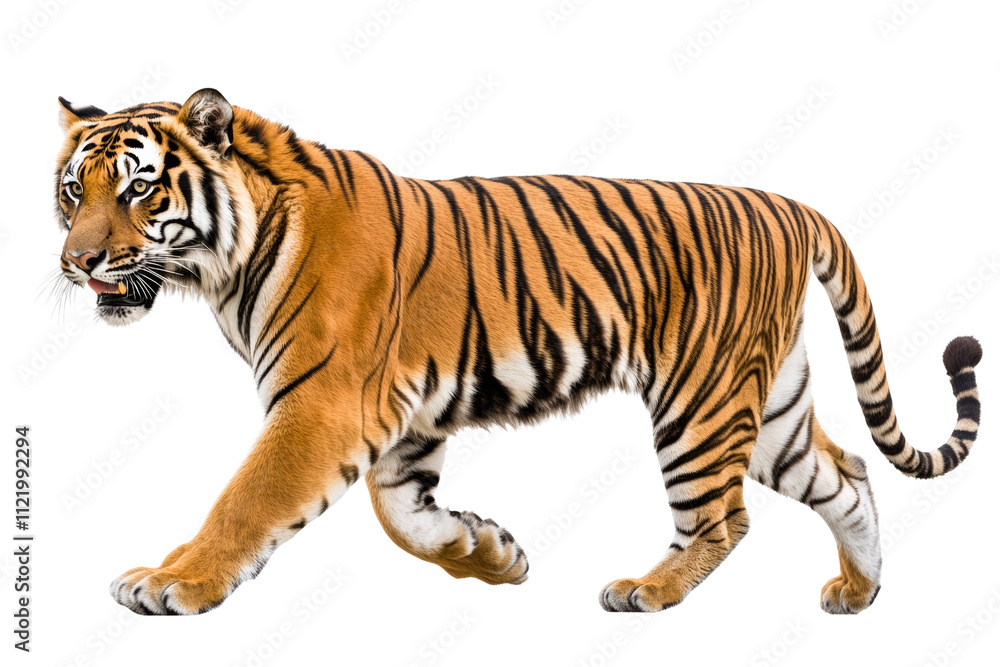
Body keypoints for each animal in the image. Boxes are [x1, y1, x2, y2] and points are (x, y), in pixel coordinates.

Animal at [53, 88, 983, 616]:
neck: (224, 264)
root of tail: (790, 205)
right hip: (769, 408)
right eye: (72, 191)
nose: (78, 261)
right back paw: (859, 592)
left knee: (725, 517)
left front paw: (172, 581)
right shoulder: (402, 417)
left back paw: (648, 590)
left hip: (701, 400)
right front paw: (488, 554)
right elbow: (403, 515)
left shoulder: (321, 403)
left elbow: (246, 500)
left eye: (139, 189)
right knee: (847, 474)